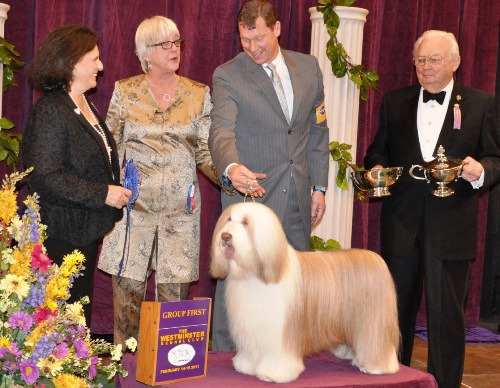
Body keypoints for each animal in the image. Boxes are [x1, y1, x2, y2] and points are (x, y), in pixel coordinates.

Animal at [209, 202, 400, 384]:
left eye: (246, 222)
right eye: (229, 219)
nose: (225, 236)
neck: (256, 272)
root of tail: (376, 258)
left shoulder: (279, 333)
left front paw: (273, 374)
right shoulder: (252, 329)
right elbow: (251, 350)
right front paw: (246, 366)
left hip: (373, 321)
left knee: (377, 343)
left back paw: (376, 367)